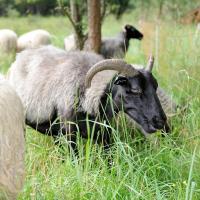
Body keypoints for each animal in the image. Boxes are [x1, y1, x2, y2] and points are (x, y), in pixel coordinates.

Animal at [8, 45, 167, 152]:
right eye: (135, 90)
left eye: (155, 86)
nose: (161, 121)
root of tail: (18, 58)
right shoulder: (70, 132)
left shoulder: (104, 133)